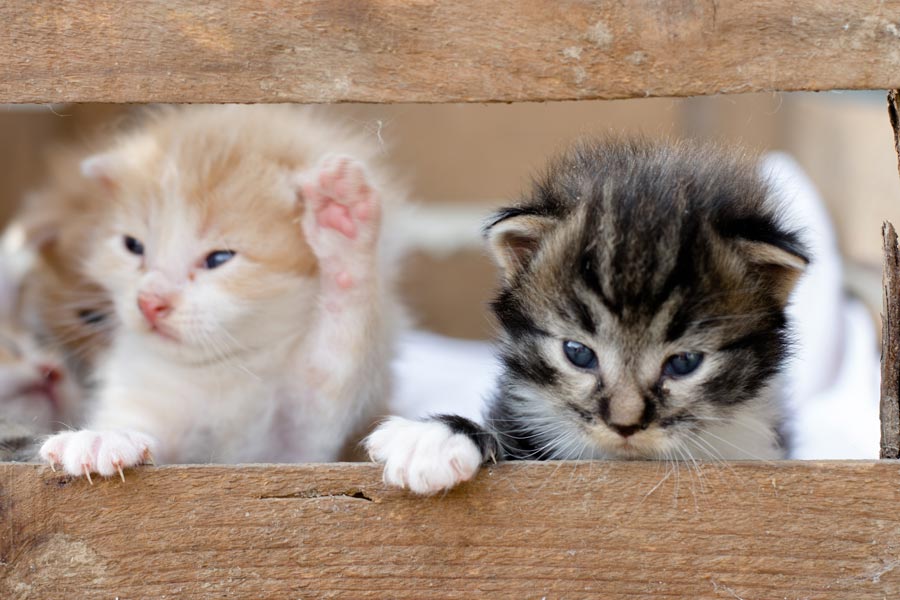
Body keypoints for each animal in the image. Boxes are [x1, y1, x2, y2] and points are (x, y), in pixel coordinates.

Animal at [39, 103, 404, 478]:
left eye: (219, 258)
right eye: (133, 246)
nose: (150, 303)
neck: (225, 364)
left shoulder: (301, 444)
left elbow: (337, 350)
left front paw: (343, 226)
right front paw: (103, 436)